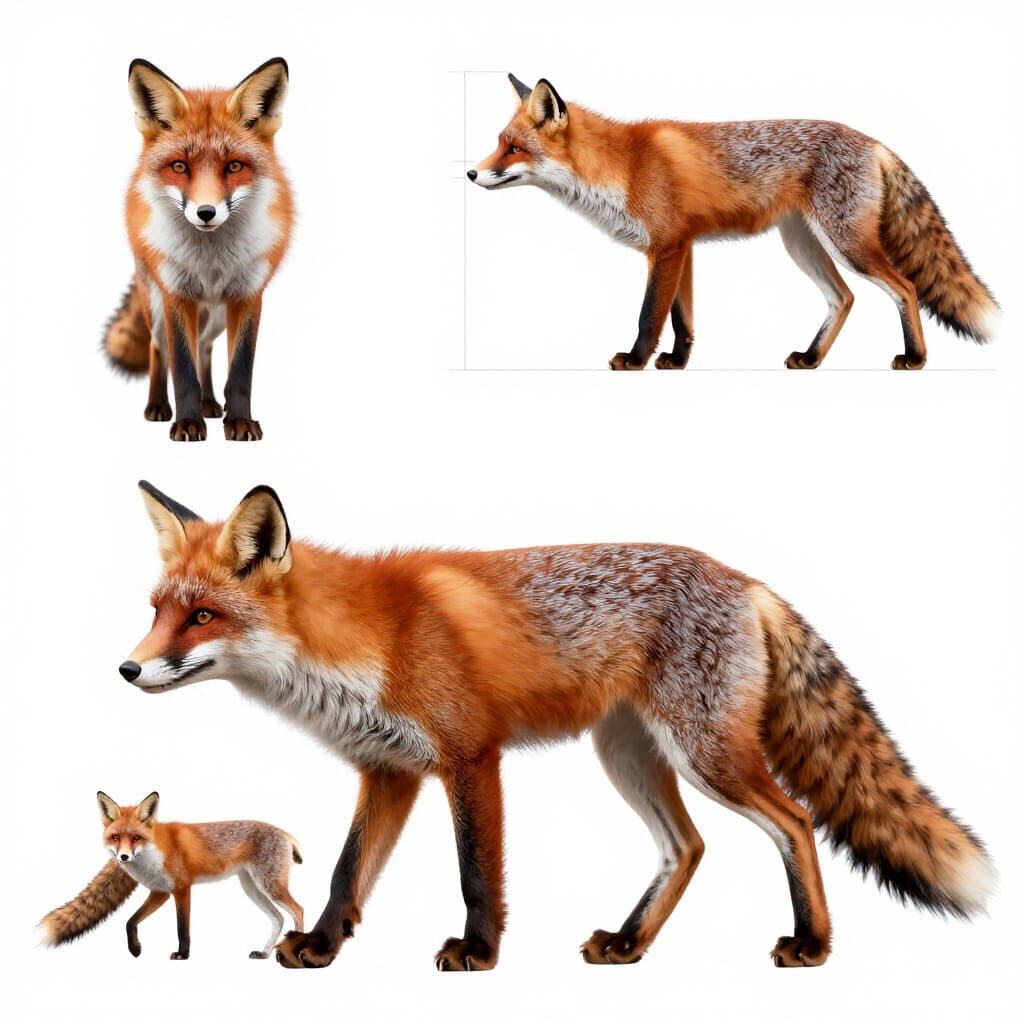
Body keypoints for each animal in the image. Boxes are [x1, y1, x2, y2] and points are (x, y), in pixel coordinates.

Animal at [39, 791, 303, 960]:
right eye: (116, 837)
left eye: (135, 837)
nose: (123, 857)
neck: (151, 855)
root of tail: (285, 833)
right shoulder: (159, 892)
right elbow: (130, 921)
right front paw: (135, 949)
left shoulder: (182, 888)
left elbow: (182, 928)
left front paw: (182, 955)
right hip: (252, 888)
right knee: (278, 918)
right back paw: (265, 953)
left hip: (269, 885)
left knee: (298, 910)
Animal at [103, 57, 293, 441]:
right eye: (180, 166)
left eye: (234, 166)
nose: (206, 212)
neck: (211, 262)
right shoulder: (177, 295)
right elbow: (183, 369)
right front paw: (187, 423)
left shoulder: (248, 295)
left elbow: (240, 371)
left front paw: (239, 421)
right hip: (156, 305)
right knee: (158, 349)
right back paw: (158, 407)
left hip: (215, 315)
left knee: (205, 347)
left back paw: (209, 404)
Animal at [115, 480, 994, 972]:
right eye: (156, 610)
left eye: (202, 616)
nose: (125, 670)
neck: (366, 639)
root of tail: (746, 580)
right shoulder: (389, 770)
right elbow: (345, 874)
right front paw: (323, 948)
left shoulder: (470, 756)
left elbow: (477, 874)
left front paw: (478, 953)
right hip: (629, 756)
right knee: (689, 847)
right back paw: (630, 944)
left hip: (707, 754)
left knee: (798, 821)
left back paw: (811, 944)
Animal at [469, 75, 998, 371]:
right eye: (499, 143)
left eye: (513, 149)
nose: (471, 173)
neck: (622, 167)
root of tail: (873, 142)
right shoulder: (680, 248)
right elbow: (682, 319)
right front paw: (677, 362)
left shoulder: (667, 248)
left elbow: (649, 315)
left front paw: (636, 361)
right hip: (803, 245)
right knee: (844, 298)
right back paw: (811, 359)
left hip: (848, 243)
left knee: (905, 288)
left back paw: (916, 359)